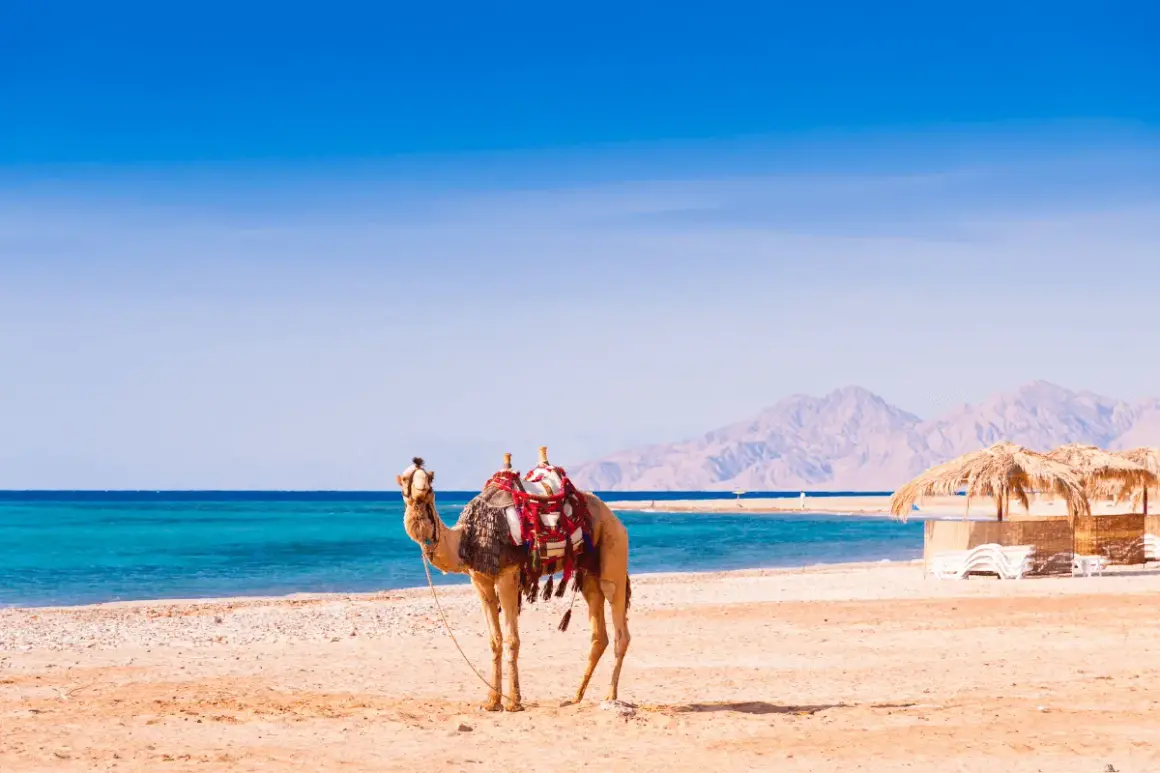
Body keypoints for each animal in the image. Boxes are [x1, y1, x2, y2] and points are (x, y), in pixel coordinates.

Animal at [397, 449, 631, 712]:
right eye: (406, 478)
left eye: (429, 478)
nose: (422, 488)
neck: (466, 537)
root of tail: (612, 516)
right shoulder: (480, 579)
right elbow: (494, 640)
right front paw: (492, 701)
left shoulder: (507, 574)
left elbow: (511, 640)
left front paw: (513, 702)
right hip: (588, 570)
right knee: (599, 632)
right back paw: (575, 697)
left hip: (613, 548)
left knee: (619, 624)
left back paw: (610, 696)